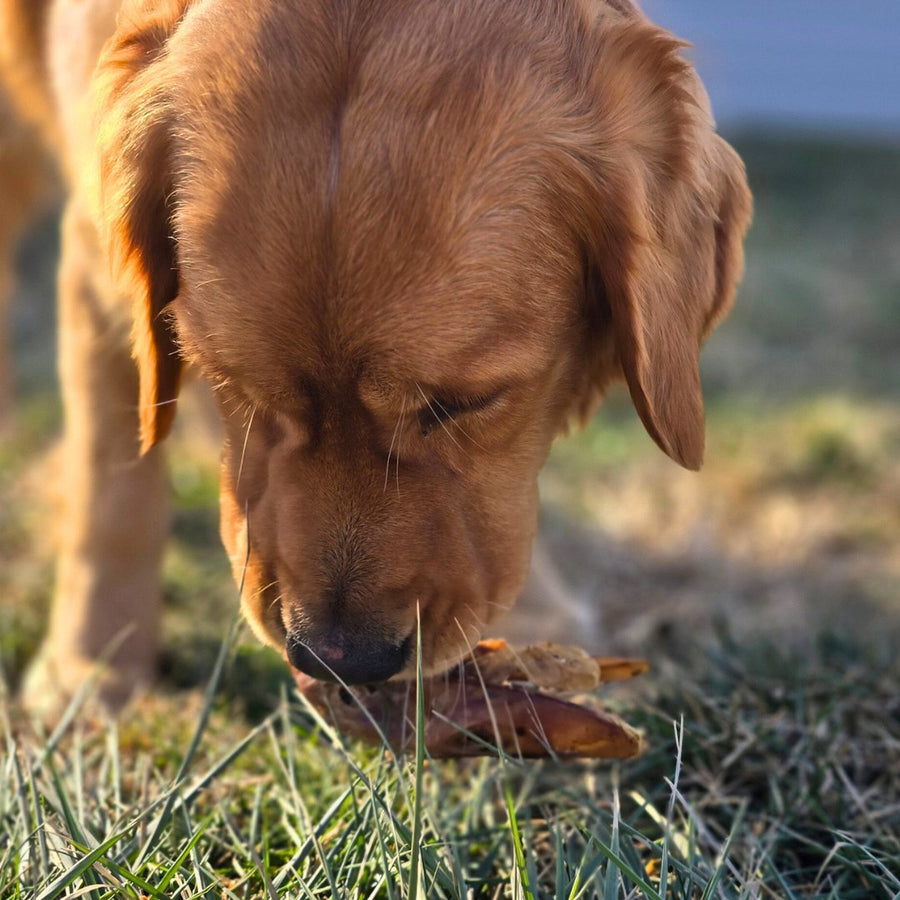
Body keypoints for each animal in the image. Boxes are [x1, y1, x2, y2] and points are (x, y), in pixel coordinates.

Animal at [1, 1, 752, 716]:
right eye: (233, 380)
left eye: (465, 402)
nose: (341, 660)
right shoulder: (98, 264)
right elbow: (113, 482)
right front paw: (92, 668)